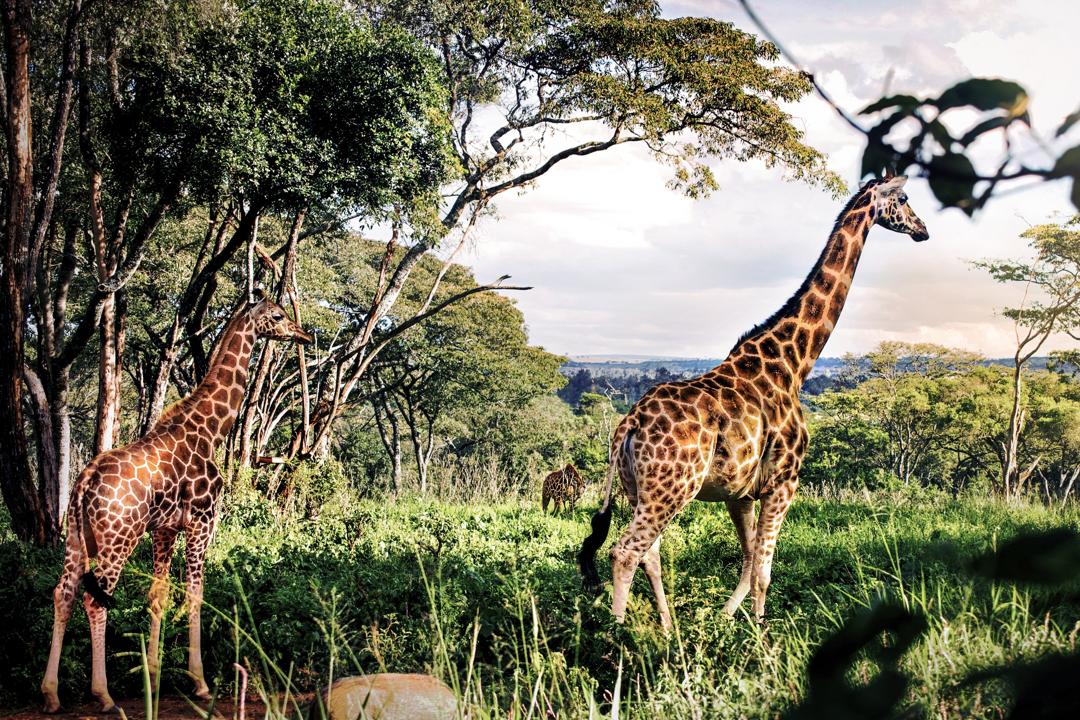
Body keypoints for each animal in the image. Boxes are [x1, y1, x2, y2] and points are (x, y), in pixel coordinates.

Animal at [42, 289, 313, 712]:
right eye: (278, 315)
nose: (304, 334)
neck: (211, 429)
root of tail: (83, 483)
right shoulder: (203, 519)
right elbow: (195, 594)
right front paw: (198, 681)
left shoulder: (165, 529)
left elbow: (159, 594)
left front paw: (152, 673)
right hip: (118, 540)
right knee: (95, 599)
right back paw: (103, 694)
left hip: (75, 537)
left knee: (64, 594)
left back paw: (51, 693)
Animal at [583, 171, 928, 626]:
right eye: (904, 199)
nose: (923, 230)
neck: (793, 363)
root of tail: (629, 423)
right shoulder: (785, 481)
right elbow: (764, 570)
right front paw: (762, 636)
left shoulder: (742, 492)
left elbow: (747, 563)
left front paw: (728, 621)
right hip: (671, 487)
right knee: (625, 552)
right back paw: (619, 634)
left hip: (636, 487)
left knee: (649, 554)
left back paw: (667, 629)